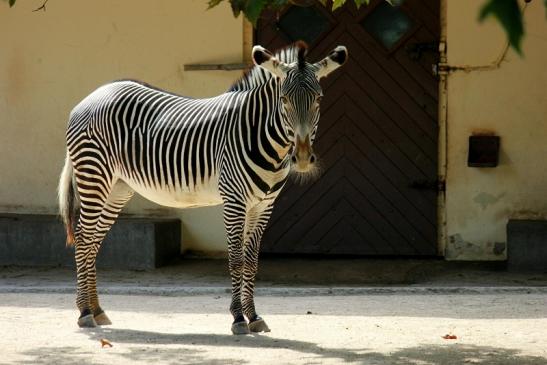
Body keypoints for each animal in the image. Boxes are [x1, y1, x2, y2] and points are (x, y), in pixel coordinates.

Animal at [58, 41, 346, 334]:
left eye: (319, 99)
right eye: (284, 100)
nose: (302, 158)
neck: (260, 135)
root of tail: (92, 95)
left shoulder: (264, 205)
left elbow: (252, 261)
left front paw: (254, 316)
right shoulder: (234, 200)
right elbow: (236, 259)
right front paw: (238, 318)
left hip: (117, 188)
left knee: (93, 241)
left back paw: (97, 310)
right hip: (94, 176)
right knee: (83, 238)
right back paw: (84, 312)